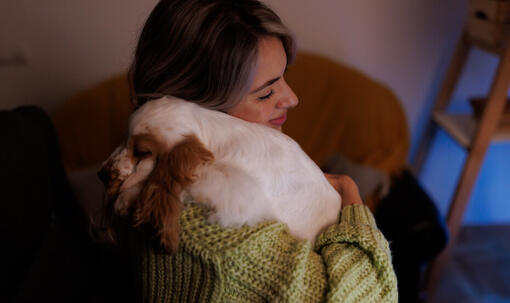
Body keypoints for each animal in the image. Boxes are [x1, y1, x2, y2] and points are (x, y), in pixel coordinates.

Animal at [97, 96, 340, 253]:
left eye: (141, 152)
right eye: (124, 139)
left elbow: (162, 181)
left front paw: (126, 198)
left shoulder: (233, 190)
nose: (101, 174)